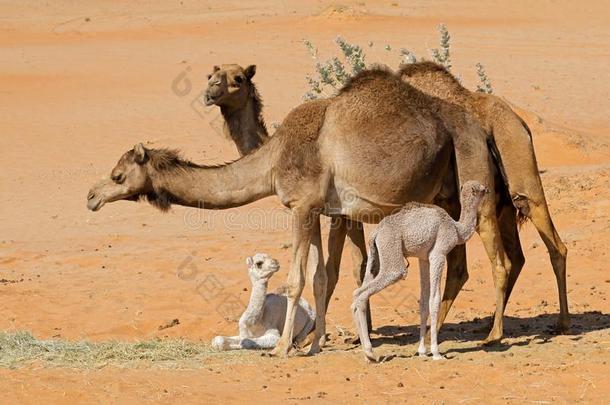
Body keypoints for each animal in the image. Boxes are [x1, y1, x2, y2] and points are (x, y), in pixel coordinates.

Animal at [350, 180, 486, 360]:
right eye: (481, 189)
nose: (488, 189)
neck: (456, 229)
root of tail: (376, 233)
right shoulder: (438, 253)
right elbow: (434, 300)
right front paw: (436, 352)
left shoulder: (424, 258)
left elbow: (423, 301)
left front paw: (422, 351)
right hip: (393, 256)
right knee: (362, 292)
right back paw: (370, 352)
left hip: (376, 256)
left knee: (359, 292)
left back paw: (366, 353)